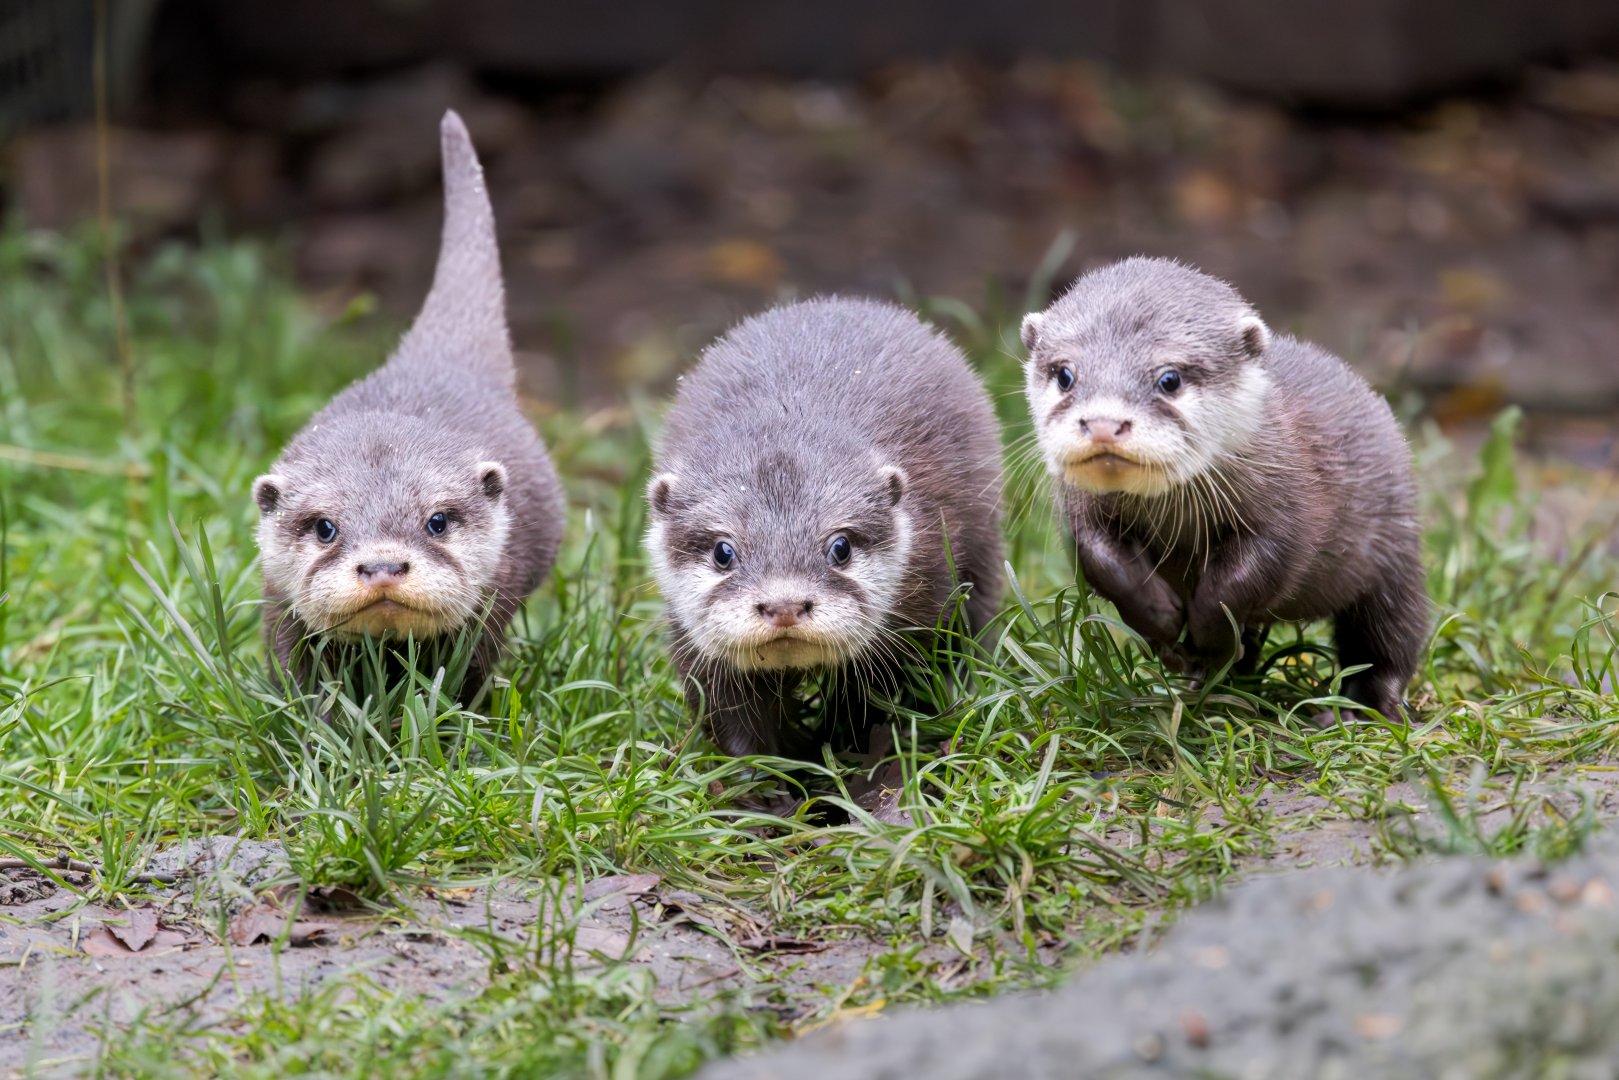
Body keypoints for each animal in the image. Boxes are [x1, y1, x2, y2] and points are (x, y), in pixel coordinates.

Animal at [647, 298, 1005, 757]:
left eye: (840, 547)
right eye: (723, 552)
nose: (784, 605)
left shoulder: (923, 604)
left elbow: (877, 700)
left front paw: (852, 752)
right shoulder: (697, 650)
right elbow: (732, 719)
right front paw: (762, 775)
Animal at [1021, 257, 1427, 723]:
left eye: (1170, 378)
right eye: (1065, 375)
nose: (1104, 423)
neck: (1177, 523)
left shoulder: (1286, 513)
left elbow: (1243, 583)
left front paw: (1207, 637)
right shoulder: (1081, 512)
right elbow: (1102, 562)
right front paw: (1163, 624)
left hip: (1393, 562)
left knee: (1389, 642)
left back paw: (1357, 709)